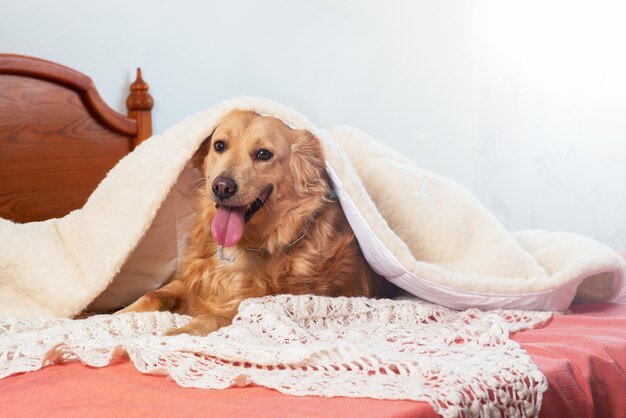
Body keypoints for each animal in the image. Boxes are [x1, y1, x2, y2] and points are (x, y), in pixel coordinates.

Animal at [118, 109, 390, 334]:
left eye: (263, 154)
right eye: (219, 145)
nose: (222, 187)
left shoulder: (263, 302)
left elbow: (215, 316)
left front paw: (176, 335)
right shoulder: (187, 281)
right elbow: (152, 295)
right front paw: (115, 317)